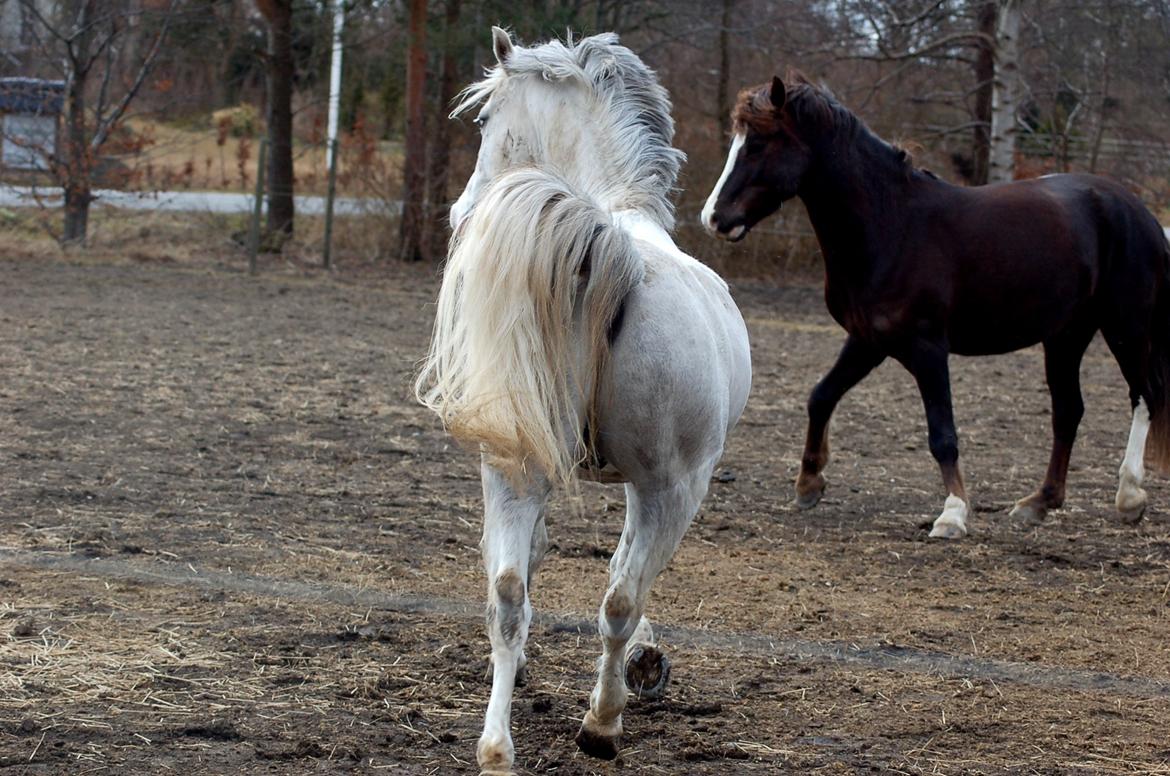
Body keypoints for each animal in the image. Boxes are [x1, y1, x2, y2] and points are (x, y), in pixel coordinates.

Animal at [416, 25, 753, 776]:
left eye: (486, 119)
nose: (457, 212)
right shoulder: (653, 483)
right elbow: (623, 578)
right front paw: (641, 669)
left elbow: (533, 564)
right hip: (671, 488)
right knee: (620, 597)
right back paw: (602, 721)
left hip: (519, 469)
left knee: (510, 593)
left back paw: (497, 747)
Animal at [702, 74, 1170, 540]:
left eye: (758, 144)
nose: (714, 218)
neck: (892, 226)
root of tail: (1138, 211)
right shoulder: (868, 342)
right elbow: (820, 397)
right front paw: (808, 484)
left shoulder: (927, 349)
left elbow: (942, 433)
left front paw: (953, 513)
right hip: (1066, 336)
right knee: (1069, 411)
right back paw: (1039, 502)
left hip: (1125, 328)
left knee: (1143, 396)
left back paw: (1129, 496)